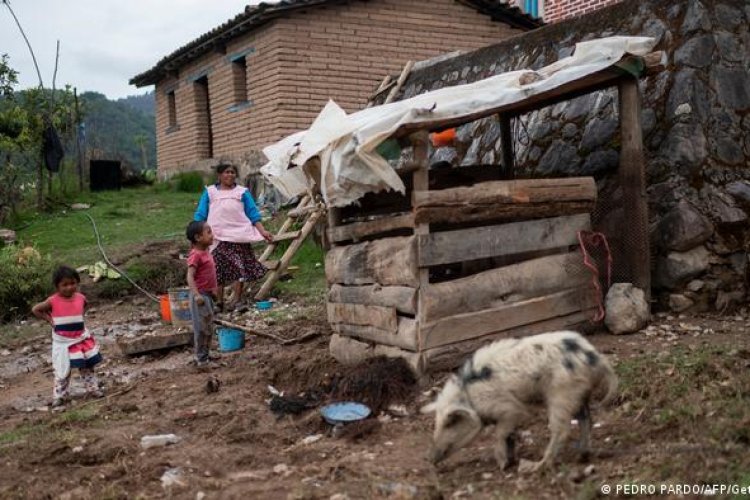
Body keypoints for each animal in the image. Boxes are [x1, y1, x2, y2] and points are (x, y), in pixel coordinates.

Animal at [420, 330, 620, 470]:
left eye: (450, 422)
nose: (429, 458)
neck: (469, 396)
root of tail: (595, 357)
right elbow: (509, 436)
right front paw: (510, 461)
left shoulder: (508, 408)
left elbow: (500, 434)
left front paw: (502, 465)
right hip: (579, 393)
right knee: (586, 420)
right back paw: (582, 456)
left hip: (561, 394)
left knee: (562, 429)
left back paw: (538, 466)